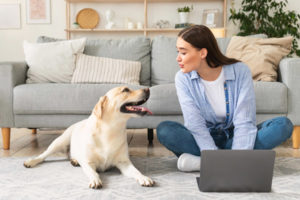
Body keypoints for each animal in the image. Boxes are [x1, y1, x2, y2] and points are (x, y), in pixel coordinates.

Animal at [24, 86, 154, 189]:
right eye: (125, 90)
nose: (148, 89)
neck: (111, 130)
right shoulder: (88, 163)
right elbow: (93, 173)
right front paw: (95, 180)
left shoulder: (123, 162)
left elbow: (136, 171)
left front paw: (144, 177)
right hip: (59, 141)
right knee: (43, 155)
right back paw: (31, 161)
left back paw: (75, 160)